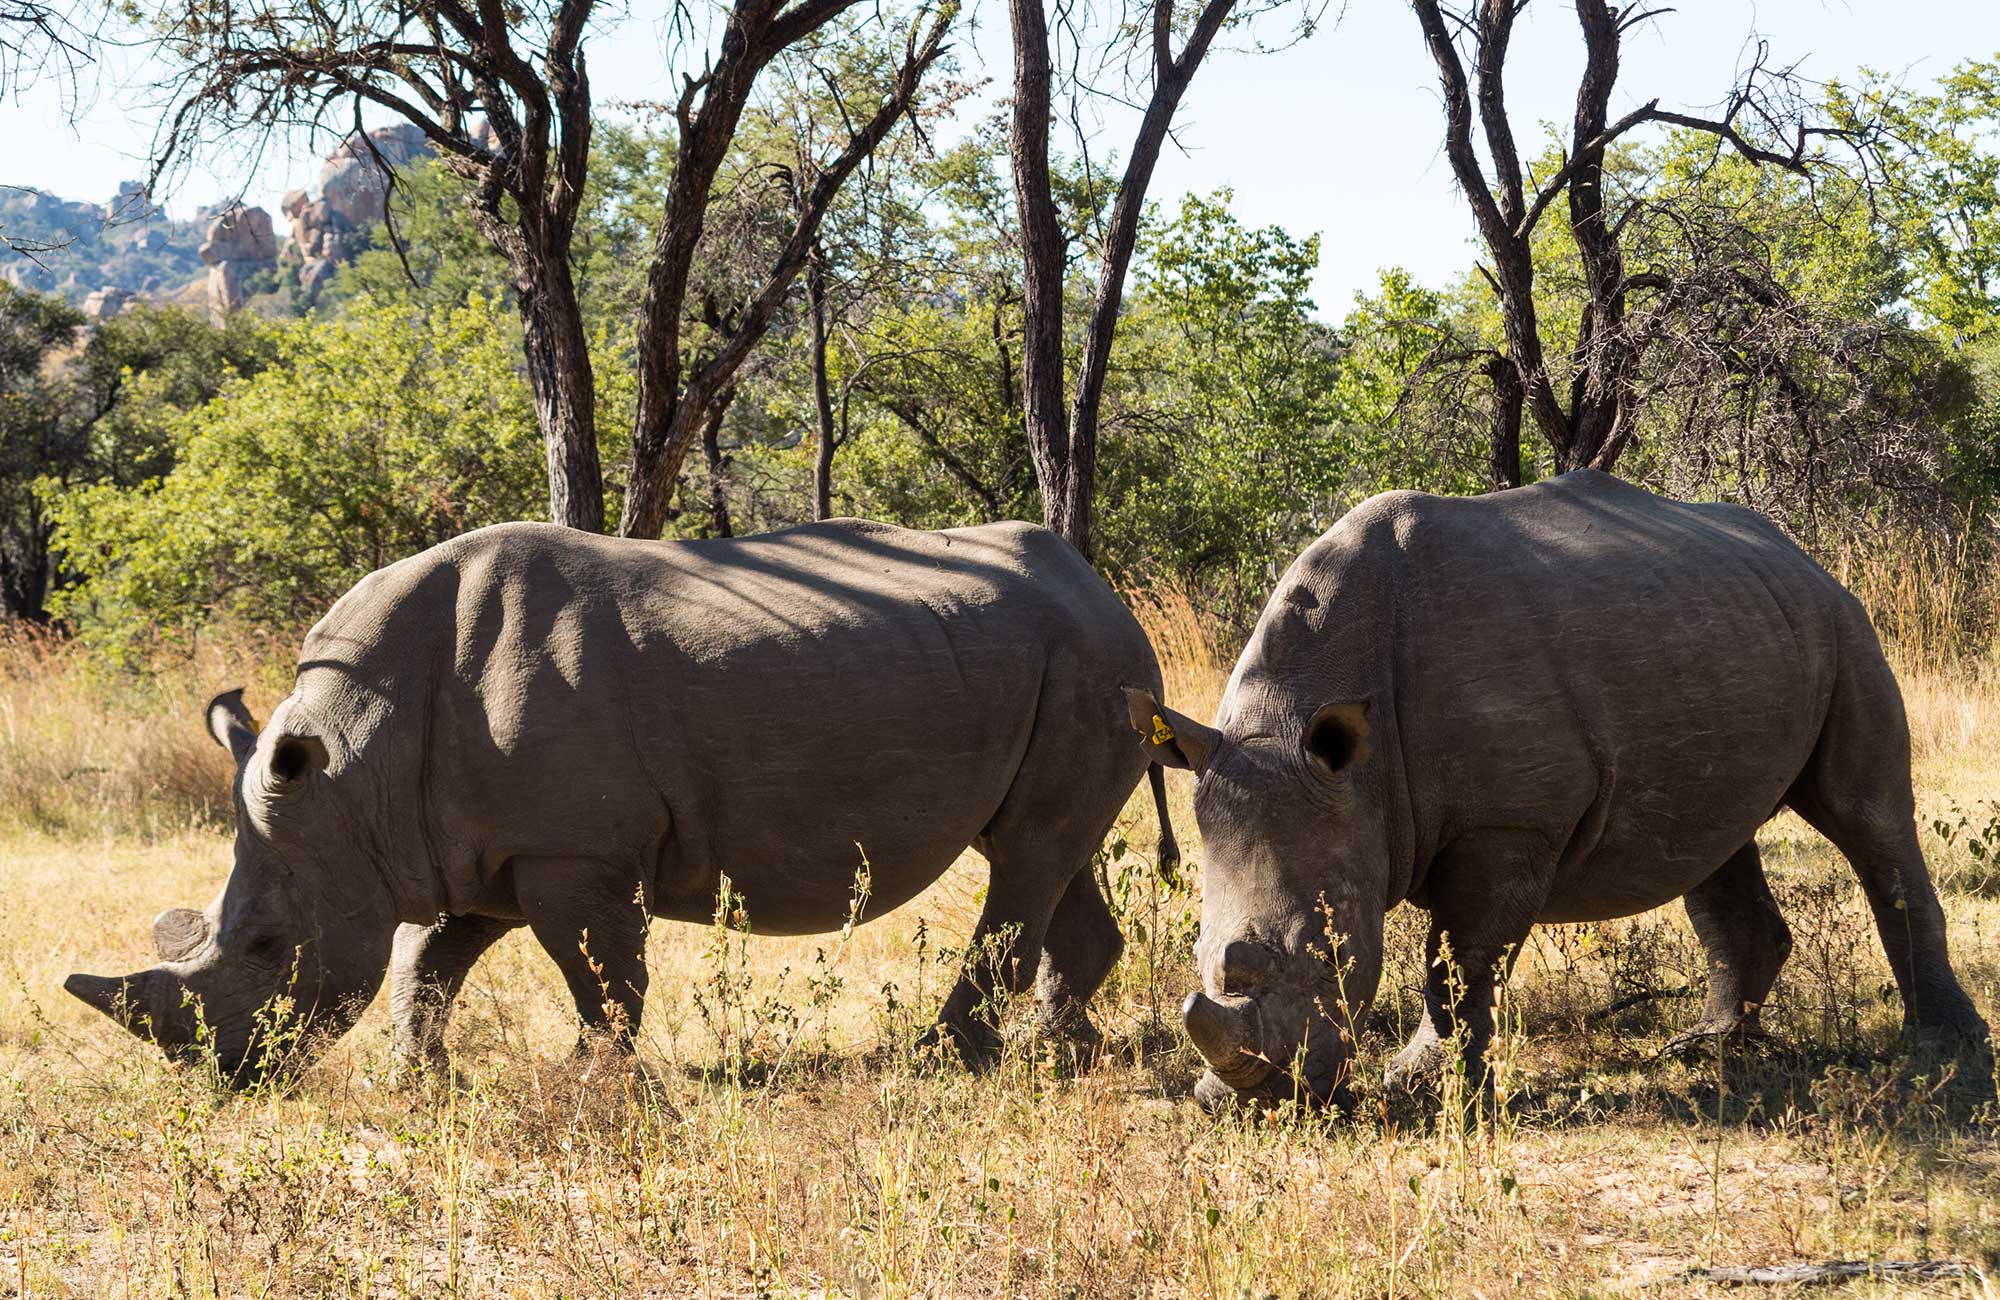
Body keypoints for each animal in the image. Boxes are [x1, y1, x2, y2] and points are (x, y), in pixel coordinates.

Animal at [66, 519, 1175, 1082]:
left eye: (265, 946)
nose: (222, 1076)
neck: (357, 766)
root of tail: (1100, 586)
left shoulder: (570, 850)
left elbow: (599, 972)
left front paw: (595, 1082)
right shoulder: (477, 846)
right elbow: (430, 958)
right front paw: (420, 1081)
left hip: (1089, 662)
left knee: (1026, 857)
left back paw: (947, 1062)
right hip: (1061, 666)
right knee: (1040, 848)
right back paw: (1063, 1049)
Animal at [1128, 471, 1988, 1111]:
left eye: (1328, 953)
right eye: (1199, 952)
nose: (1252, 1100)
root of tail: (1802, 555)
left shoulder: (1511, 822)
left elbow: (1459, 961)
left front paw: (1426, 1091)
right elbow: (1459, 960)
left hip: (1844, 627)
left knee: (1867, 817)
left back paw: (1944, 1052)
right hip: (1722, 628)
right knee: (1713, 839)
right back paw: (1706, 1046)